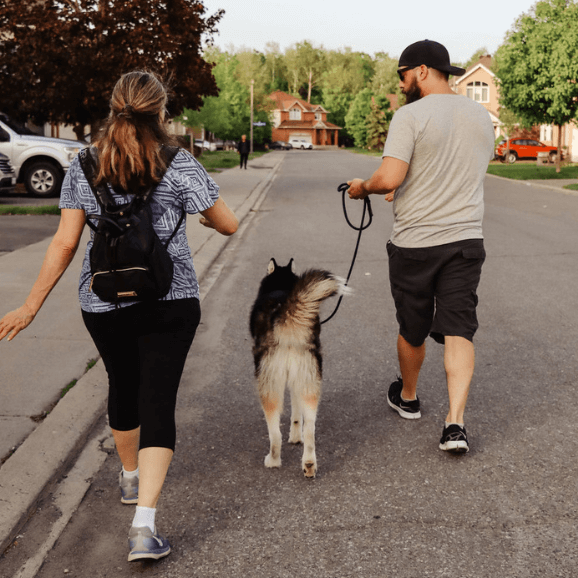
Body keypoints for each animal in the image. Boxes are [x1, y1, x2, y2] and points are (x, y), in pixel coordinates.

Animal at [248, 258, 346, 474]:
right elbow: (296, 415)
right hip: (309, 380)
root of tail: (288, 316)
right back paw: (308, 463)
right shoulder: (297, 382)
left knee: (275, 433)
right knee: (310, 427)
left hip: (269, 385)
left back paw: (273, 460)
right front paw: (295, 436)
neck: (281, 285)